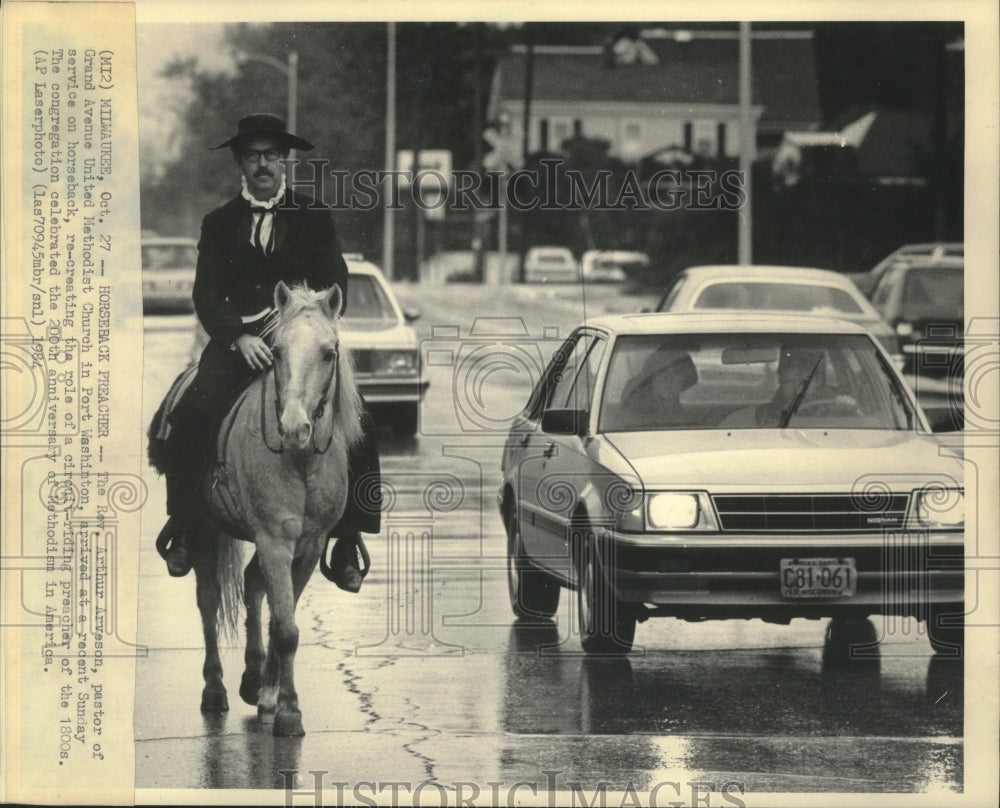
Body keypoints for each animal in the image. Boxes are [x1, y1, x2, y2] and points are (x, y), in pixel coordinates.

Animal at [148, 280, 364, 736]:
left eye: (329, 352)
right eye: (276, 351)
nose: (294, 428)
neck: (301, 460)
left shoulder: (307, 545)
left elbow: (284, 619)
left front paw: (272, 693)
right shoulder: (274, 540)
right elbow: (284, 628)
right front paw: (289, 711)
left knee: (250, 585)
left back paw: (252, 680)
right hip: (205, 529)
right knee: (209, 600)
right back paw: (215, 690)